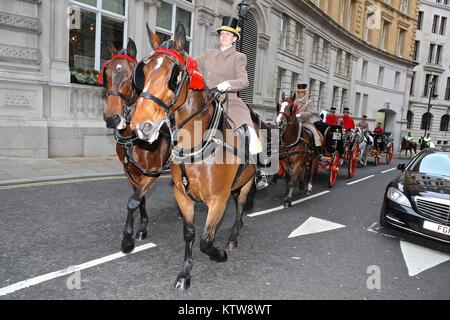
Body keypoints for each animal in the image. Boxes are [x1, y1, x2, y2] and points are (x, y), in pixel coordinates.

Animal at [100, 37, 171, 252]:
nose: (111, 118)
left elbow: (132, 202)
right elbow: (140, 199)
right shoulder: (131, 171)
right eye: (106, 73)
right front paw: (142, 227)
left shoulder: (153, 171)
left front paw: (127, 238)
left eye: (131, 75)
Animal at [130, 24, 256, 290]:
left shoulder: (218, 199)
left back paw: (232, 238)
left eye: (174, 76)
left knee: (240, 207)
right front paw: (185, 273)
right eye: (143, 72)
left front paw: (219, 254)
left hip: (246, 183)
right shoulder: (182, 195)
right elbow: (190, 234)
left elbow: (206, 241)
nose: (141, 126)